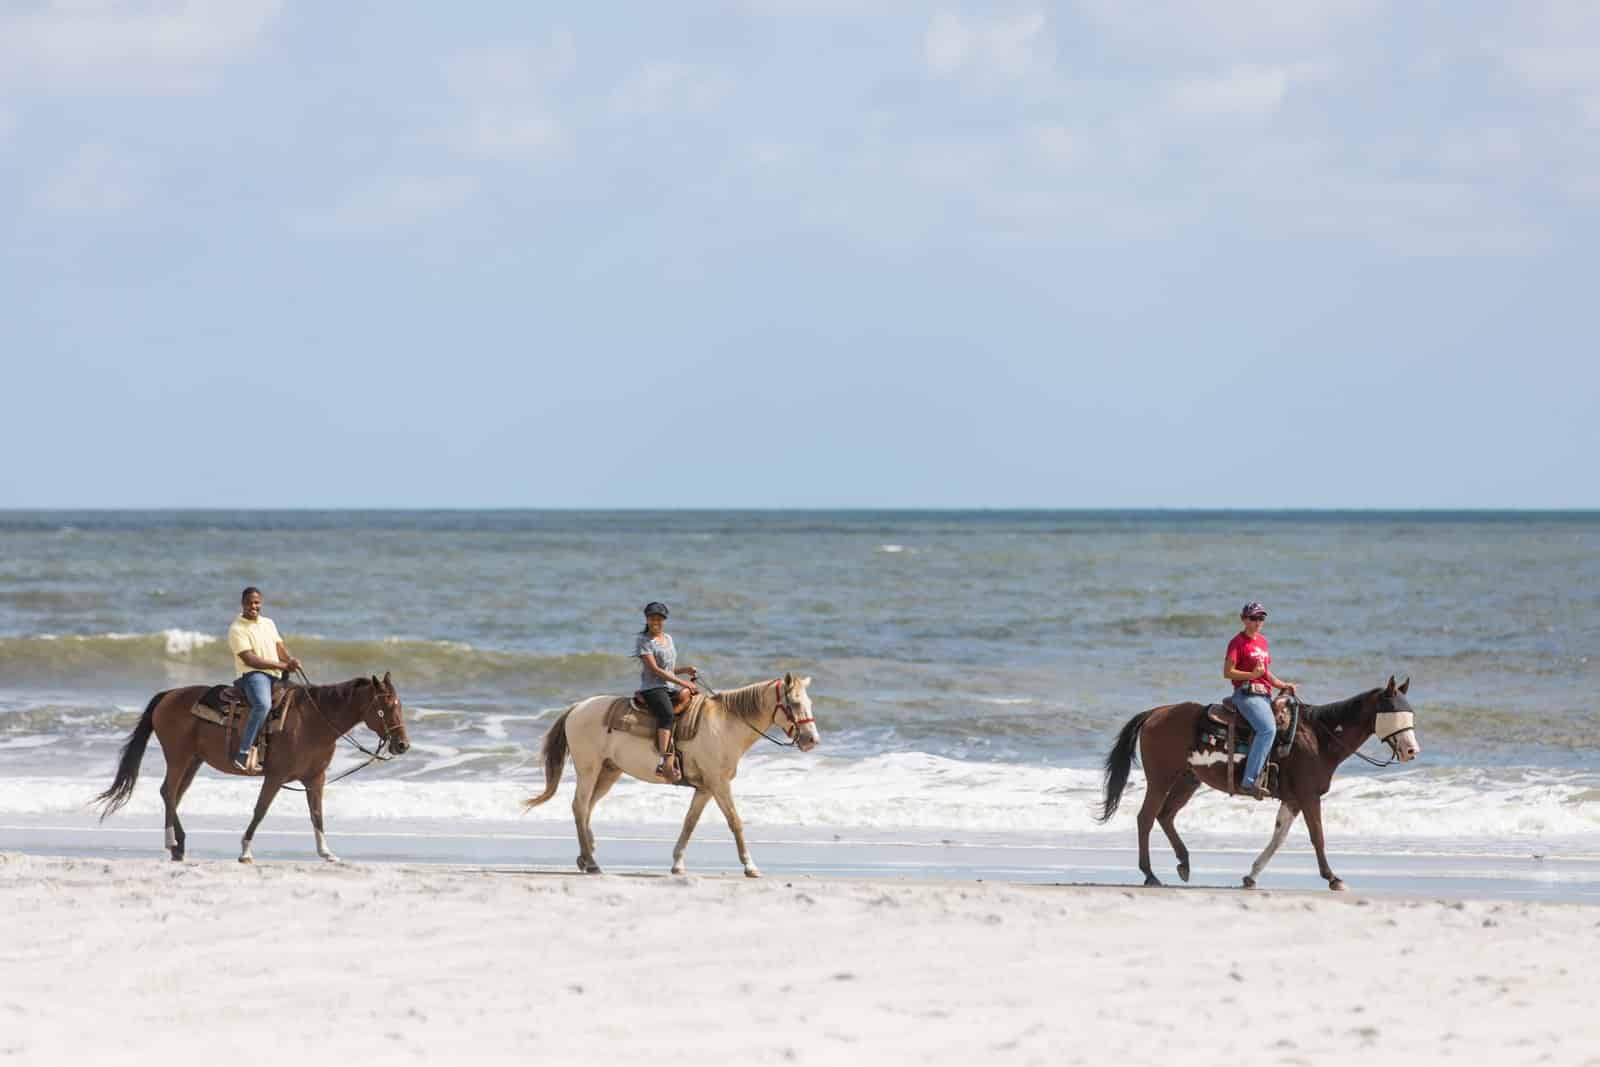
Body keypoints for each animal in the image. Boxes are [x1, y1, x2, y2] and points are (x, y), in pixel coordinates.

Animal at [93, 675, 409, 870]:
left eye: (399, 705)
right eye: (384, 707)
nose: (403, 745)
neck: (313, 721)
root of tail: (169, 695)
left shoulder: (314, 778)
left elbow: (317, 815)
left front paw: (327, 853)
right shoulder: (276, 776)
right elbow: (260, 810)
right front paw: (245, 851)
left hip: (193, 760)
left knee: (172, 795)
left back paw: (177, 846)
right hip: (178, 756)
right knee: (169, 792)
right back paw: (173, 841)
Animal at [524, 675, 819, 876]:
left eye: (809, 702)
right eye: (794, 703)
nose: (812, 740)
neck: (725, 726)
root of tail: (577, 708)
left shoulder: (705, 788)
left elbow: (690, 822)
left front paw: (677, 863)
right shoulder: (719, 784)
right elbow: (735, 822)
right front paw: (750, 866)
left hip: (608, 772)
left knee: (587, 808)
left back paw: (586, 857)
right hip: (589, 769)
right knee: (579, 806)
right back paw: (592, 862)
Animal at [1094, 675, 1420, 895]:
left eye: (1410, 712)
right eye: (1393, 712)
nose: (1411, 751)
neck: (1318, 737)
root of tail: (1155, 713)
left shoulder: (1293, 799)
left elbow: (1278, 838)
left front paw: (1251, 876)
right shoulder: (1308, 795)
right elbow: (1318, 837)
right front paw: (1333, 878)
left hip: (1187, 780)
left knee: (1165, 816)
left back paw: (1184, 864)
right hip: (1161, 778)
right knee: (1146, 818)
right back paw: (1150, 874)